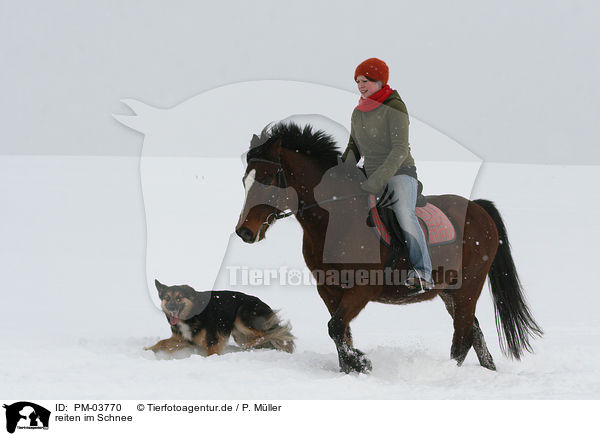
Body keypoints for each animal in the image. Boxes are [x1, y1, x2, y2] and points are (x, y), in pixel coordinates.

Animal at [146, 282, 296, 356]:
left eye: (179, 298)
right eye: (167, 298)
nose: (171, 308)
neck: (192, 315)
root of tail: (264, 304)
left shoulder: (213, 340)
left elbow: (211, 354)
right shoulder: (182, 340)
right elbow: (161, 343)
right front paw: (146, 350)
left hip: (241, 317)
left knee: (266, 334)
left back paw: (249, 344)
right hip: (238, 332)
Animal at [236, 122, 544, 372]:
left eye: (268, 179)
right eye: (245, 180)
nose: (244, 231)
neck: (338, 216)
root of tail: (479, 208)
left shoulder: (362, 288)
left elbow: (336, 327)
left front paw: (360, 362)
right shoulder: (328, 289)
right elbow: (341, 331)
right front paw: (350, 367)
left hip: (469, 287)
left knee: (464, 337)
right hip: (449, 291)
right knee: (475, 333)